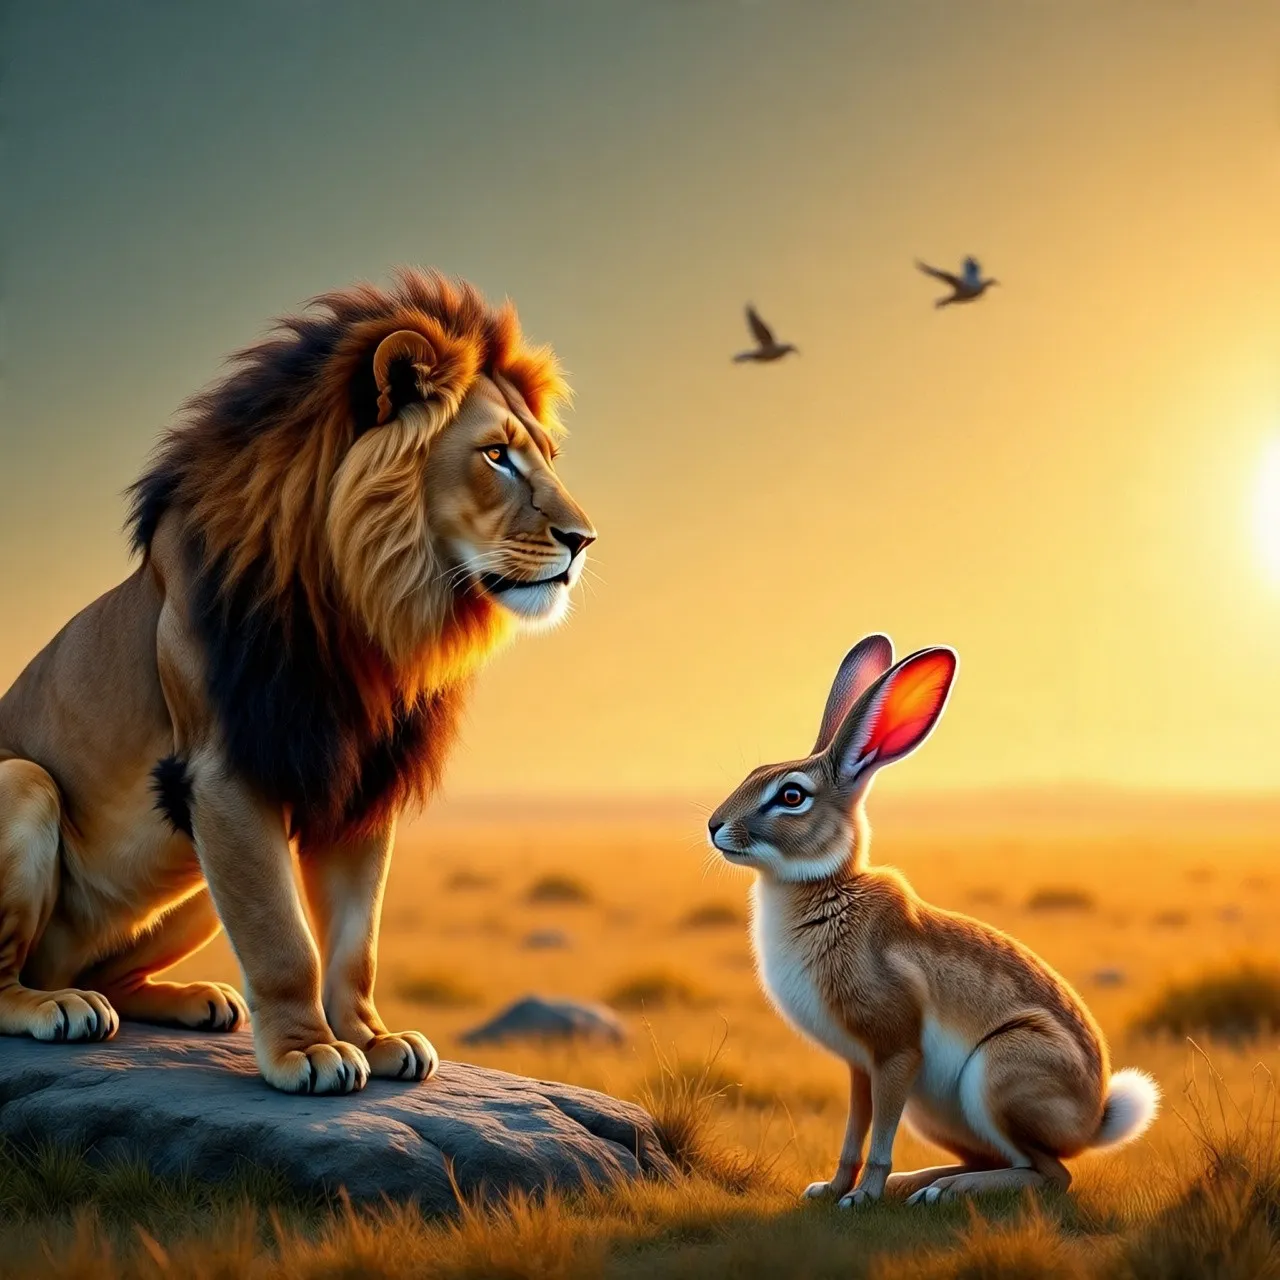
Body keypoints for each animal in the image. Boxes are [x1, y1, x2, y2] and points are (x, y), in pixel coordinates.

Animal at [0, 270, 595, 1094]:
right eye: (497, 455)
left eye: (545, 455)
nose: (584, 540)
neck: (365, 612)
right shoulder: (222, 775)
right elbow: (285, 941)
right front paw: (308, 1052)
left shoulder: (361, 781)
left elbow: (354, 943)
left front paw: (374, 1038)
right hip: (29, 783)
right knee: (10, 977)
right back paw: (56, 1007)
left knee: (107, 969)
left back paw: (192, 999)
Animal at [707, 634, 1159, 1206]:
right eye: (752, 775)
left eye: (791, 796)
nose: (714, 826)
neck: (828, 889)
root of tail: (1093, 1122)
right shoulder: (860, 1065)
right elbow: (855, 1131)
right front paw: (831, 1189)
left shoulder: (895, 1050)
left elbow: (878, 1136)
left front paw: (862, 1197)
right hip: (936, 1113)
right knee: (1000, 1158)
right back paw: (922, 1183)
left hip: (999, 1074)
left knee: (1050, 1173)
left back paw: (947, 1191)